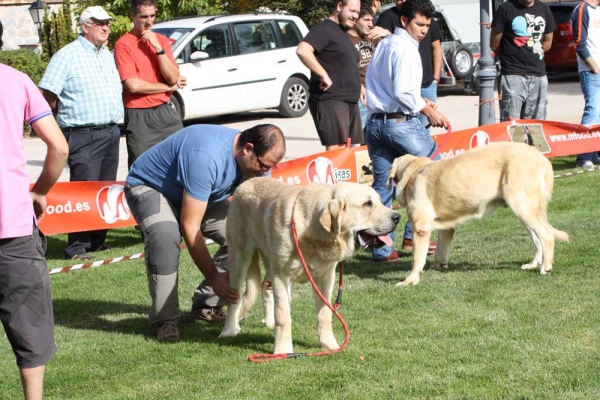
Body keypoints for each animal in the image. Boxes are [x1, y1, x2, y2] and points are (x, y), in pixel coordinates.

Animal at [219, 178, 398, 354]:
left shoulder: (325, 278)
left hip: (270, 262)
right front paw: (283, 350)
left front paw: (330, 345)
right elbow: (283, 315)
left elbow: (325, 314)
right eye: (367, 204)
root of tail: (245, 183)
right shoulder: (281, 276)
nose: (397, 217)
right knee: (235, 297)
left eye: (379, 201)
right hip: (240, 257)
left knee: (265, 287)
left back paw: (269, 321)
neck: (314, 234)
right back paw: (229, 330)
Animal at [390, 142, 568, 286]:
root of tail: (542, 158)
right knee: (538, 239)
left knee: (546, 235)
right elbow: (442, 248)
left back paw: (546, 267)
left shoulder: (420, 228)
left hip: (522, 205)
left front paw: (409, 281)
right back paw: (533, 264)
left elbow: (416, 259)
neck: (414, 171)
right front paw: (438, 266)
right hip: (527, 210)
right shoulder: (446, 227)